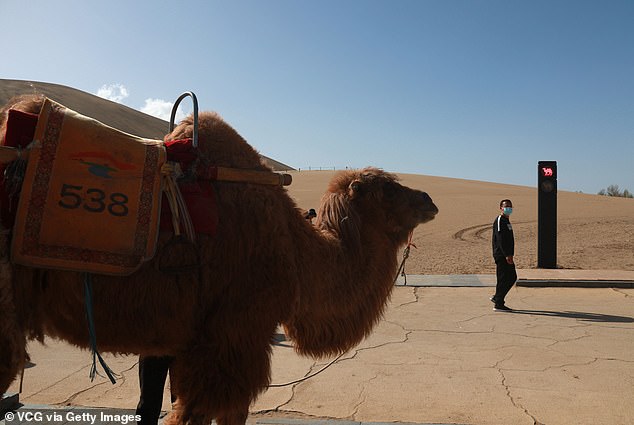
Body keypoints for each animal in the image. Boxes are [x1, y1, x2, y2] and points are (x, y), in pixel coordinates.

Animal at [0, 93, 434, 424]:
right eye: (387, 189)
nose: (429, 200)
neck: (295, 250)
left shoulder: (192, 342)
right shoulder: (234, 333)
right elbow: (206, 412)